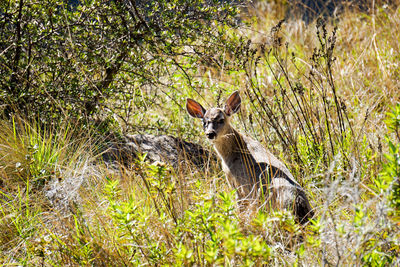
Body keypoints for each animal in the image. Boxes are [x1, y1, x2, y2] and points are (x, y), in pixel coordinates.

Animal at [186, 91, 314, 224]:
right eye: (204, 122)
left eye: (221, 120)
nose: (210, 133)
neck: (232, 152)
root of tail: (298, 200)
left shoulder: (237, 185)